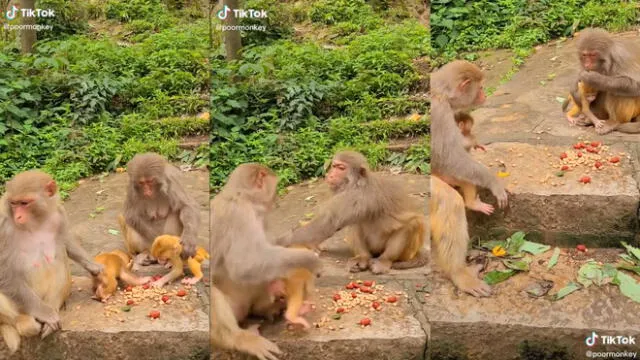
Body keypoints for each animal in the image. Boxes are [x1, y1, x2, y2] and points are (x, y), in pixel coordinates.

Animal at [0, 170, 104, 352]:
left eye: (24, 203)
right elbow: (4, 271)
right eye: (13, 203)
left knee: (59, 254)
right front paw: (46, 314)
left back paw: (53, 306)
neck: (36, 219)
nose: (18, 216)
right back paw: (24, 321)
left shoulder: (59, 214)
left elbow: (65, 240)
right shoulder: (2, 223)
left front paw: (92, 265)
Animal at [210, 164, 320, 360]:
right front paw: (309, 259)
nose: (275, 202)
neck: (244, 196)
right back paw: (239, 338)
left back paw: (271, 306)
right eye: (275, 188)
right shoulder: (239, 213)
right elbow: (244, 265)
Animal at [274, 150, 424, 274]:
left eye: (341, 168)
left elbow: (328, 223)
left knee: (411, 224)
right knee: (356, 224)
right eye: (334, 166)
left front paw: (278, 242)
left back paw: (384, 261)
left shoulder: (355, 196)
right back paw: (363, 258)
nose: (330, 175)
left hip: (406, 252)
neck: (358, 183)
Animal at [430, 59, 510, 211]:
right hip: (448, 177)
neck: (444, 97)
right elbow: (451, 158)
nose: (484, 95)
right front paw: (494, 182)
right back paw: (473, 204)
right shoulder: (443, 117)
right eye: (480, 88)